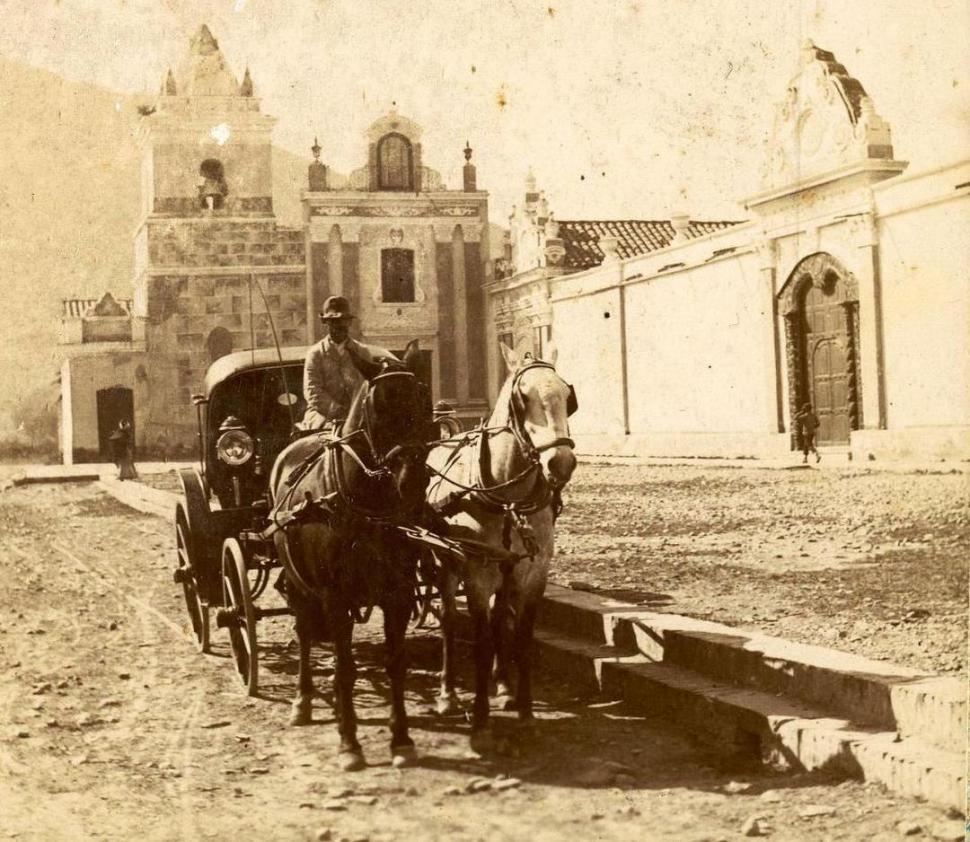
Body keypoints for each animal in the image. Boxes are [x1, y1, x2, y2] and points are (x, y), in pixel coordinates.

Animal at [266, 342, 430, 768]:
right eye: (378, 406)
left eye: (423, 399)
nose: (412, 480)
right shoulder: (335, 597)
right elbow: (345, 669)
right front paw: (349, 742)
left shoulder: (399, 593)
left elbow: (395, 662)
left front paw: (401, 739)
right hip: (297, 582)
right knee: (304, 633)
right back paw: (303, 702)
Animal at [426, 340, 576, 740]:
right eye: (522, 398)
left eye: (566, 395)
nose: (561, 463)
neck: (509, 500)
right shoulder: (476, 574)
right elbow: (479, 641)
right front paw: (479, 715)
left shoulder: (534, 573)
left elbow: (520, 638)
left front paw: (524, 708)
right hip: (445, 565)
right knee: (449, 618)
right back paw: (448, 693)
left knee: (498, 622)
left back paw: (503, 685)